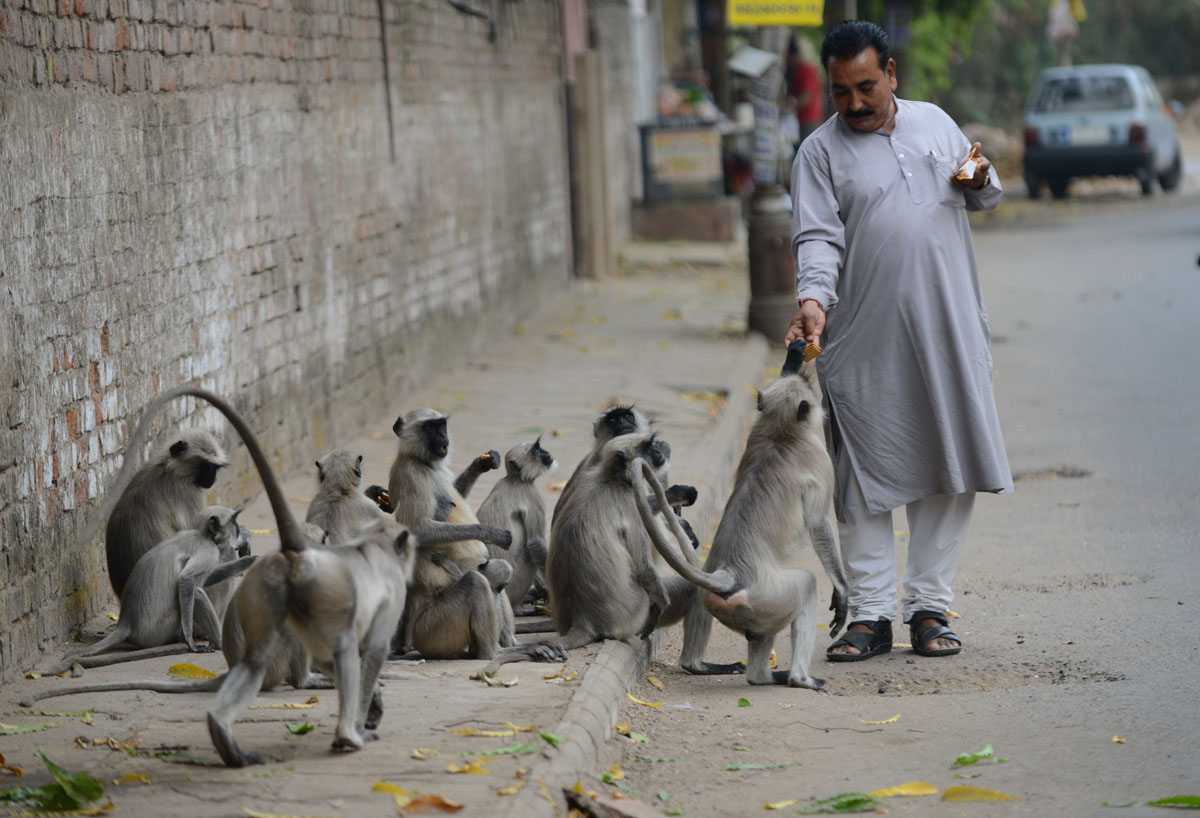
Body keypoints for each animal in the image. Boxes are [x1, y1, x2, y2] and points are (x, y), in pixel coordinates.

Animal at [41, 506, 255, 671]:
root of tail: (126, 622)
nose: (238, 530)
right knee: (198, 594)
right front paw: (191, 643)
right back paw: (217, 642)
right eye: (233, 523)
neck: (203, 535)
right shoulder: (208, 551)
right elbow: (187, 580)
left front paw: (251, 561)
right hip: (160, 627)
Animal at [472, 438, 556, 611]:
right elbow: (535, 543)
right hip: (513, 584)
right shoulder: (532, 494)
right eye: (536, 450)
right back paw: (520, 608)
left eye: (539, 447)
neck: (514, 479)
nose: (546, 453)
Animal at [628, 338, 854, 686]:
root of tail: (728, 574)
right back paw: (799, 679)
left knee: (751, 641)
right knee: (806, 584)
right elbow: (819, 524)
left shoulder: (758, 428)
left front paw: (794, 354)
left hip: (737, 605)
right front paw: (841, 591)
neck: (781, 433)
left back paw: (758, 676)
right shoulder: (818, 459)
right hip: (771, 596)